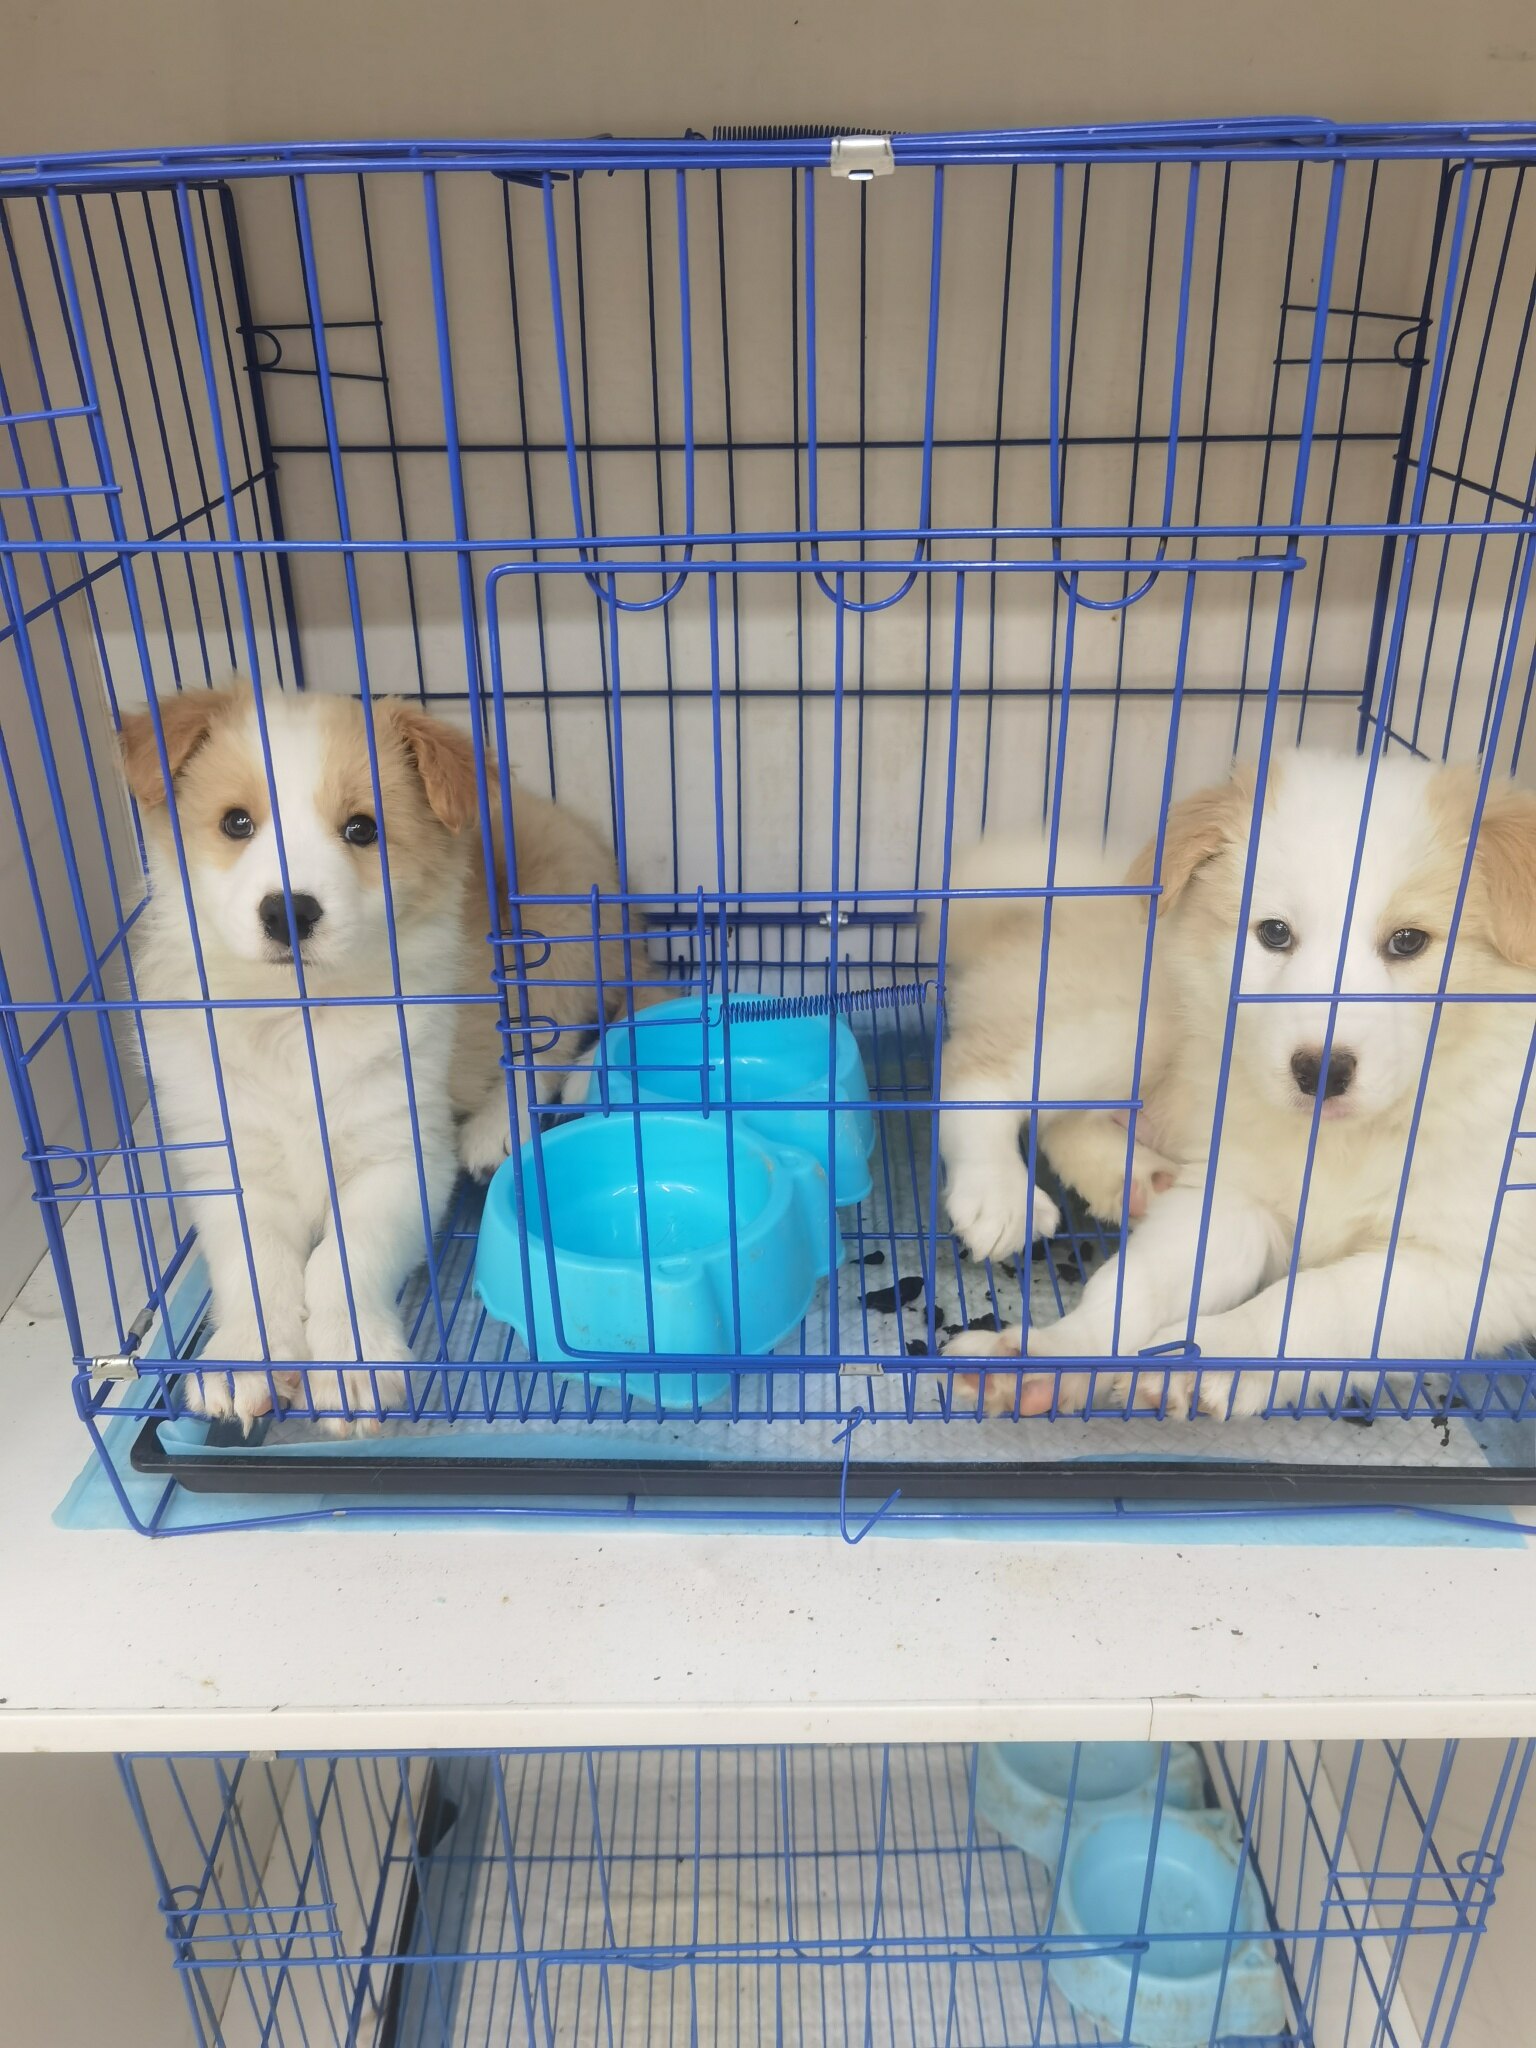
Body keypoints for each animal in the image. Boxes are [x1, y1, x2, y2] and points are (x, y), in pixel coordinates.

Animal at [120, 683, 654, 1433]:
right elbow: (253, 1266)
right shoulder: (230, 1166)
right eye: (235, 823)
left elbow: (343, 1261)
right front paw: (247, 1357)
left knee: (548, 1047)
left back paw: (501, 1126)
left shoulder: (403, 1157)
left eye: (362, 829)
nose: (289, 913)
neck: (302, 1021)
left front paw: (352, 1366)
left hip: (553, 933)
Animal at [938, 750, 1536, 1419]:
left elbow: (1316, 1299)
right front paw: (1054, 1354)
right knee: (982, 1073)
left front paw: (1212, 1357)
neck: (1348, 1141)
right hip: (1135, 1022)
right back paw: (998, 1193)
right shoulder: (1234, 1192)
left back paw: (1138, 1180)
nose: (1319, 1072)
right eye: (1274, 933)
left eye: (1408, 941)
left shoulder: (1480, 1270)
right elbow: (1135, 1285)